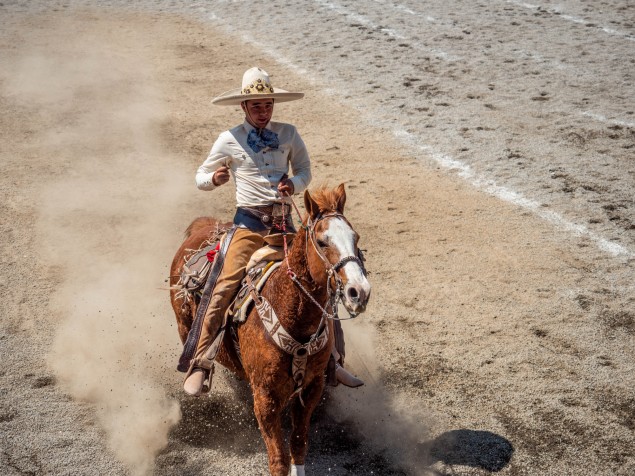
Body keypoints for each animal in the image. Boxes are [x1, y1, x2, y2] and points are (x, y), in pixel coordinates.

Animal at [170, 185, 372, 476]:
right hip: (185, 324)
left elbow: (298, 443)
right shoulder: (265, 397)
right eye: (322, 242)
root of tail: (204, 227)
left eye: (355, 238)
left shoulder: (312, 387)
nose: (360, 291)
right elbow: (278, 458)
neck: (292, 314)